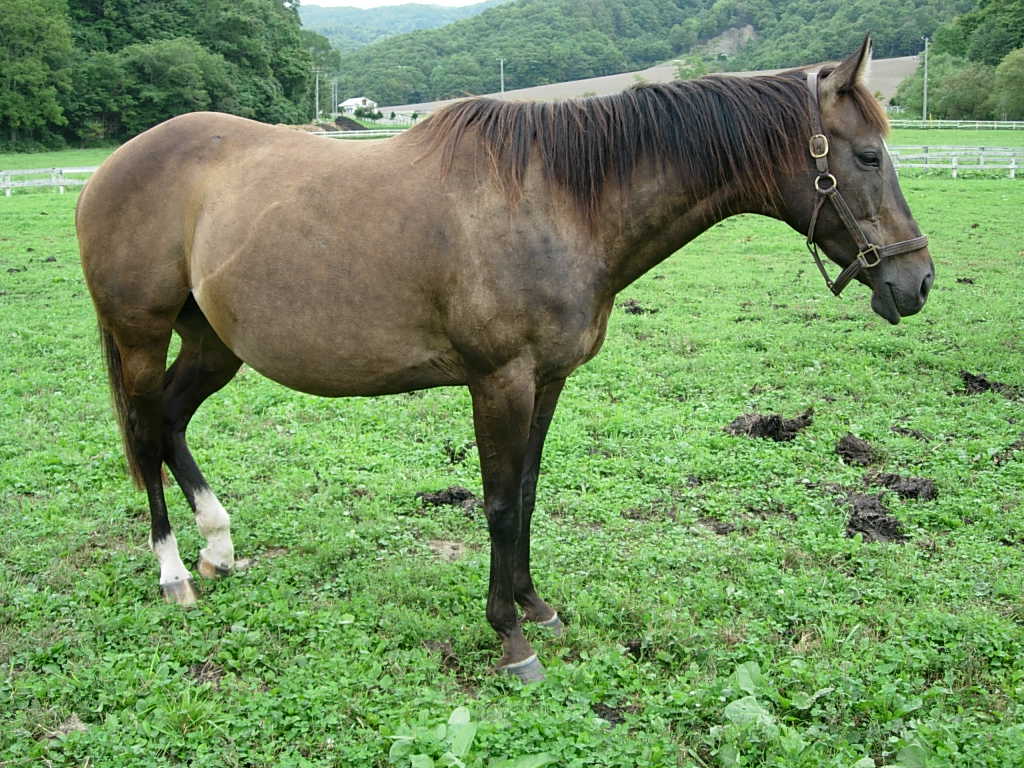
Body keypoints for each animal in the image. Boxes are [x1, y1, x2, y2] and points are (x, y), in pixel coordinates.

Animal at [75, 39, 933, 684]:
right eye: (866, 155)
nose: (916, 280)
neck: (557, 201)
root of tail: (113, 166)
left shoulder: (547, 381)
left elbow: (525, 493)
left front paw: (536, 607)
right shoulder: (499, 382)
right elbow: (493, 503)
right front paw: (508, 636)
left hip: (213, 343)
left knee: (171, 424)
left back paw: (218, 545)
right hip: (141, 336)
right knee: (146, 432)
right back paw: (174, 572)